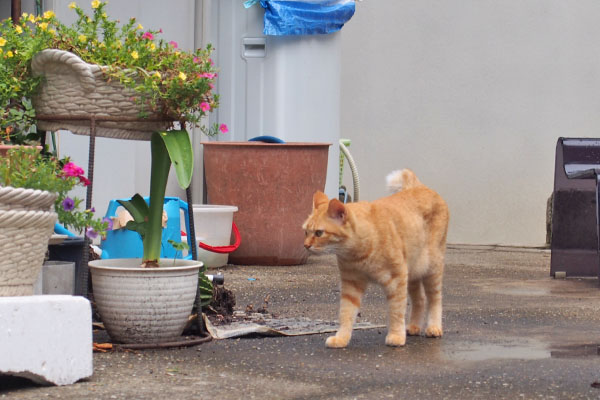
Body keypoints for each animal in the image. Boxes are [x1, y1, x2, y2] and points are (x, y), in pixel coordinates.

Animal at [302, 169, 448, 346]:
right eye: (306, 232)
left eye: (319, 233)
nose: (305, 245)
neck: (358, 252)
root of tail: (419, 186)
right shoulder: (351, 284)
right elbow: (346, 313)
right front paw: (342, 338)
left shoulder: (397, 280)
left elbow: (396, 311)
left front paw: (396, 335)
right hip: (413, 273)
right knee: (419, 299)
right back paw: (414, 326)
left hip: (432, 269)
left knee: (435, 299)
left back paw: (434, 327)